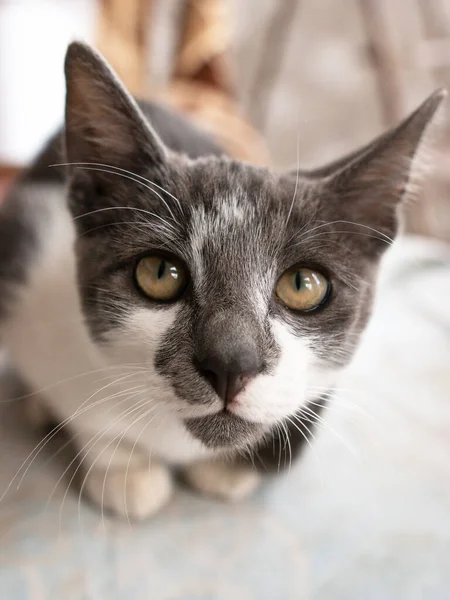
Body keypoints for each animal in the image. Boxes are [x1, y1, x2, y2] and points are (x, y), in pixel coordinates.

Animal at [0, 43, 442, 520]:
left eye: (303, 284)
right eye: (159, 273)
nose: (231, 365)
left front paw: (229, 469)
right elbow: (94, 423)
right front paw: (126, 471)